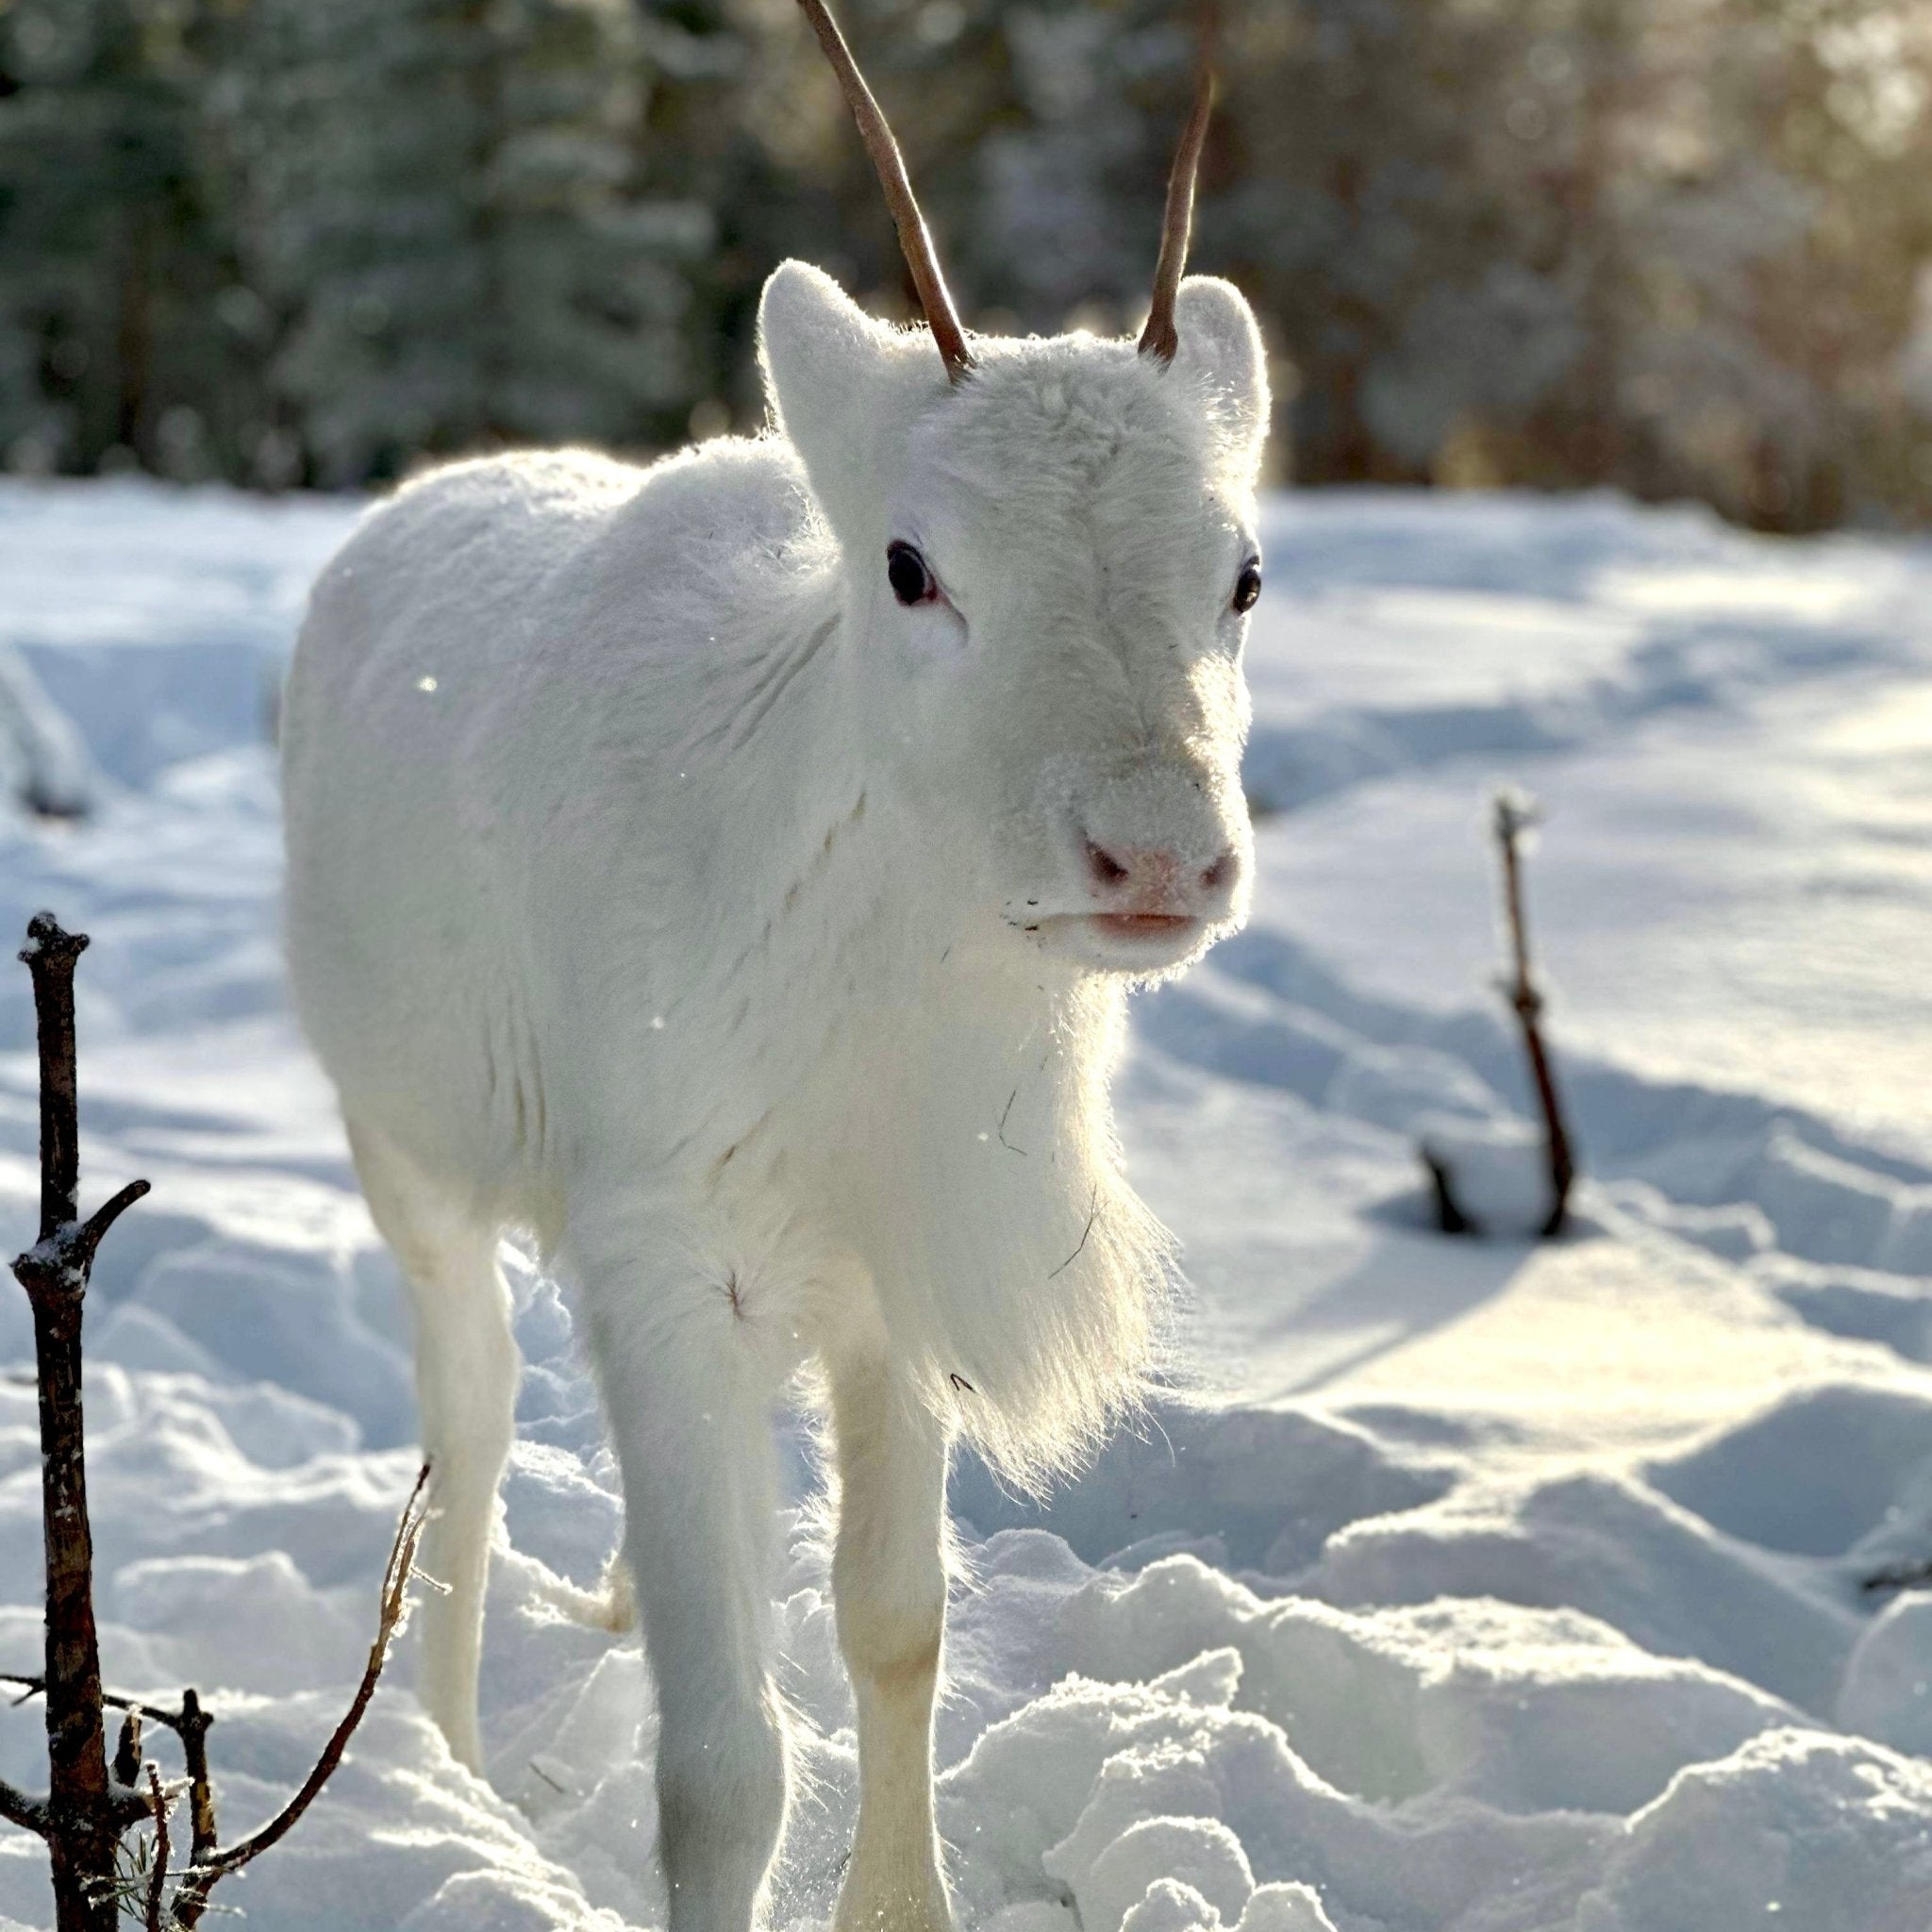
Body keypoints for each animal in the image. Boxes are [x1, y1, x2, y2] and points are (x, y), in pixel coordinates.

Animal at [279, 4, 1267, 1927]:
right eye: (909, 565)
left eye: (1245, 573)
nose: (1159, 854)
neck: (881, 994)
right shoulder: (669, 1253)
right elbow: (723, 1768)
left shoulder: (895, 1281)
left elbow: (895, 1631)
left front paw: (902, 1897)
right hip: (407, 1149)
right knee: (473, 1430)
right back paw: (448, 1760)